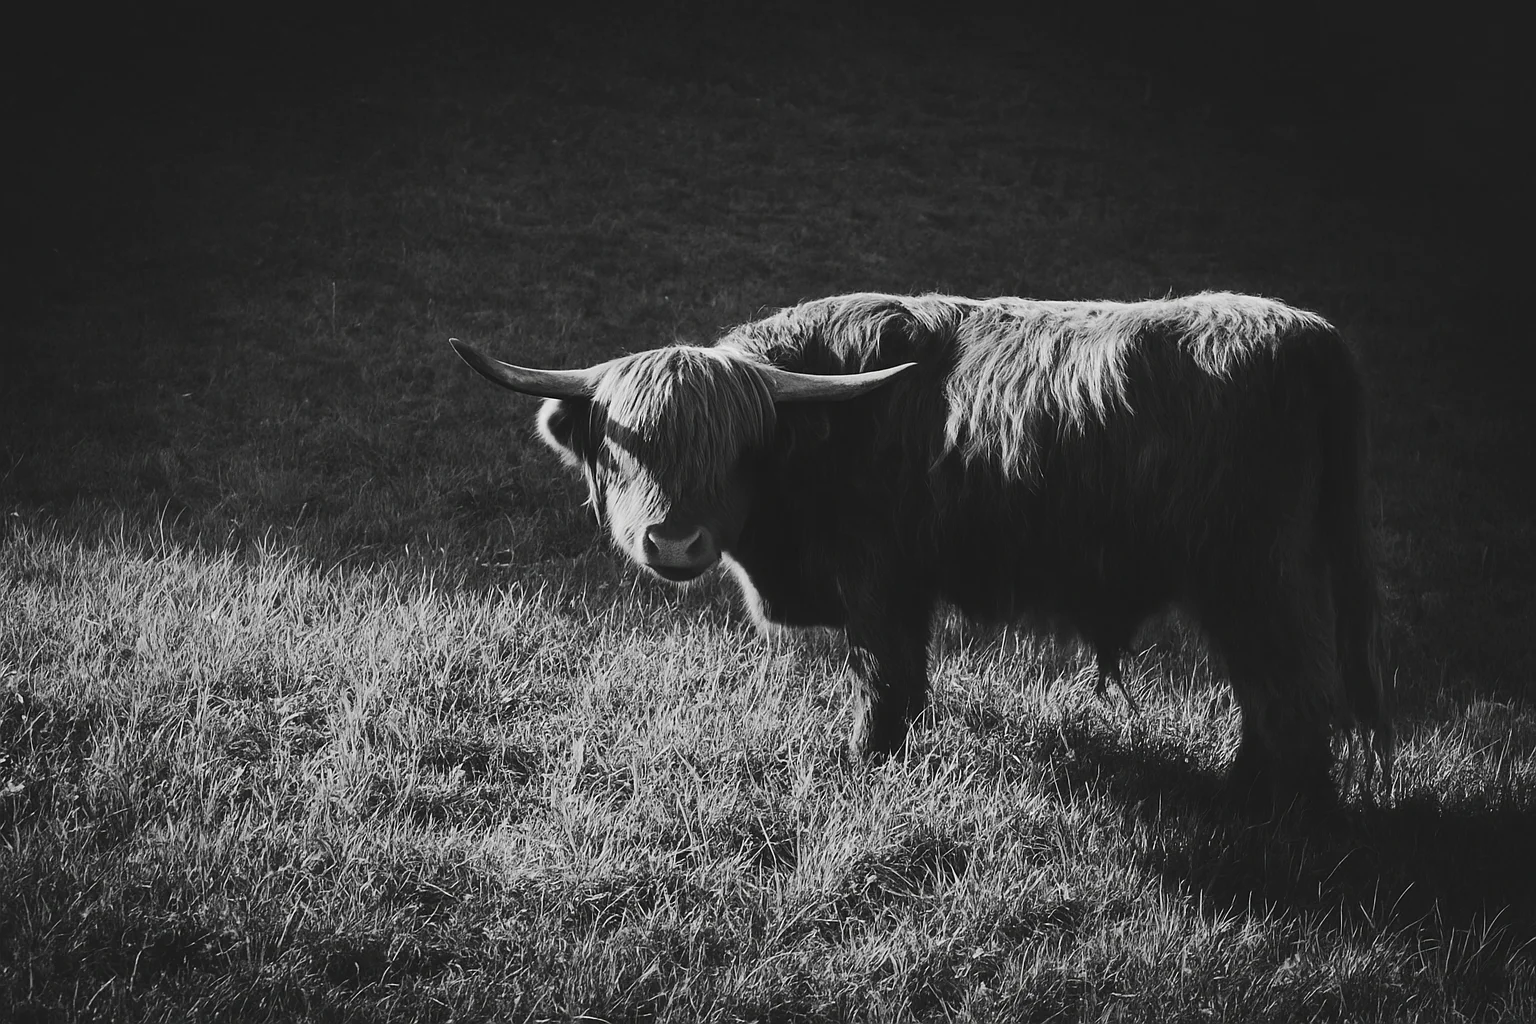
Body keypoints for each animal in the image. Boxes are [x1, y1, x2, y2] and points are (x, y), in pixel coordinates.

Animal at [451, 291, 1392, 811]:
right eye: (626, 446)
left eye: (733, 451)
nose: (675, 540)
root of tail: (1310, 333)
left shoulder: (882, 585)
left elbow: (889, 681)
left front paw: (865, 764)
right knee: (1273, 693)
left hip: (1256, 579)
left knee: (1291, 695)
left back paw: (1285, 816)